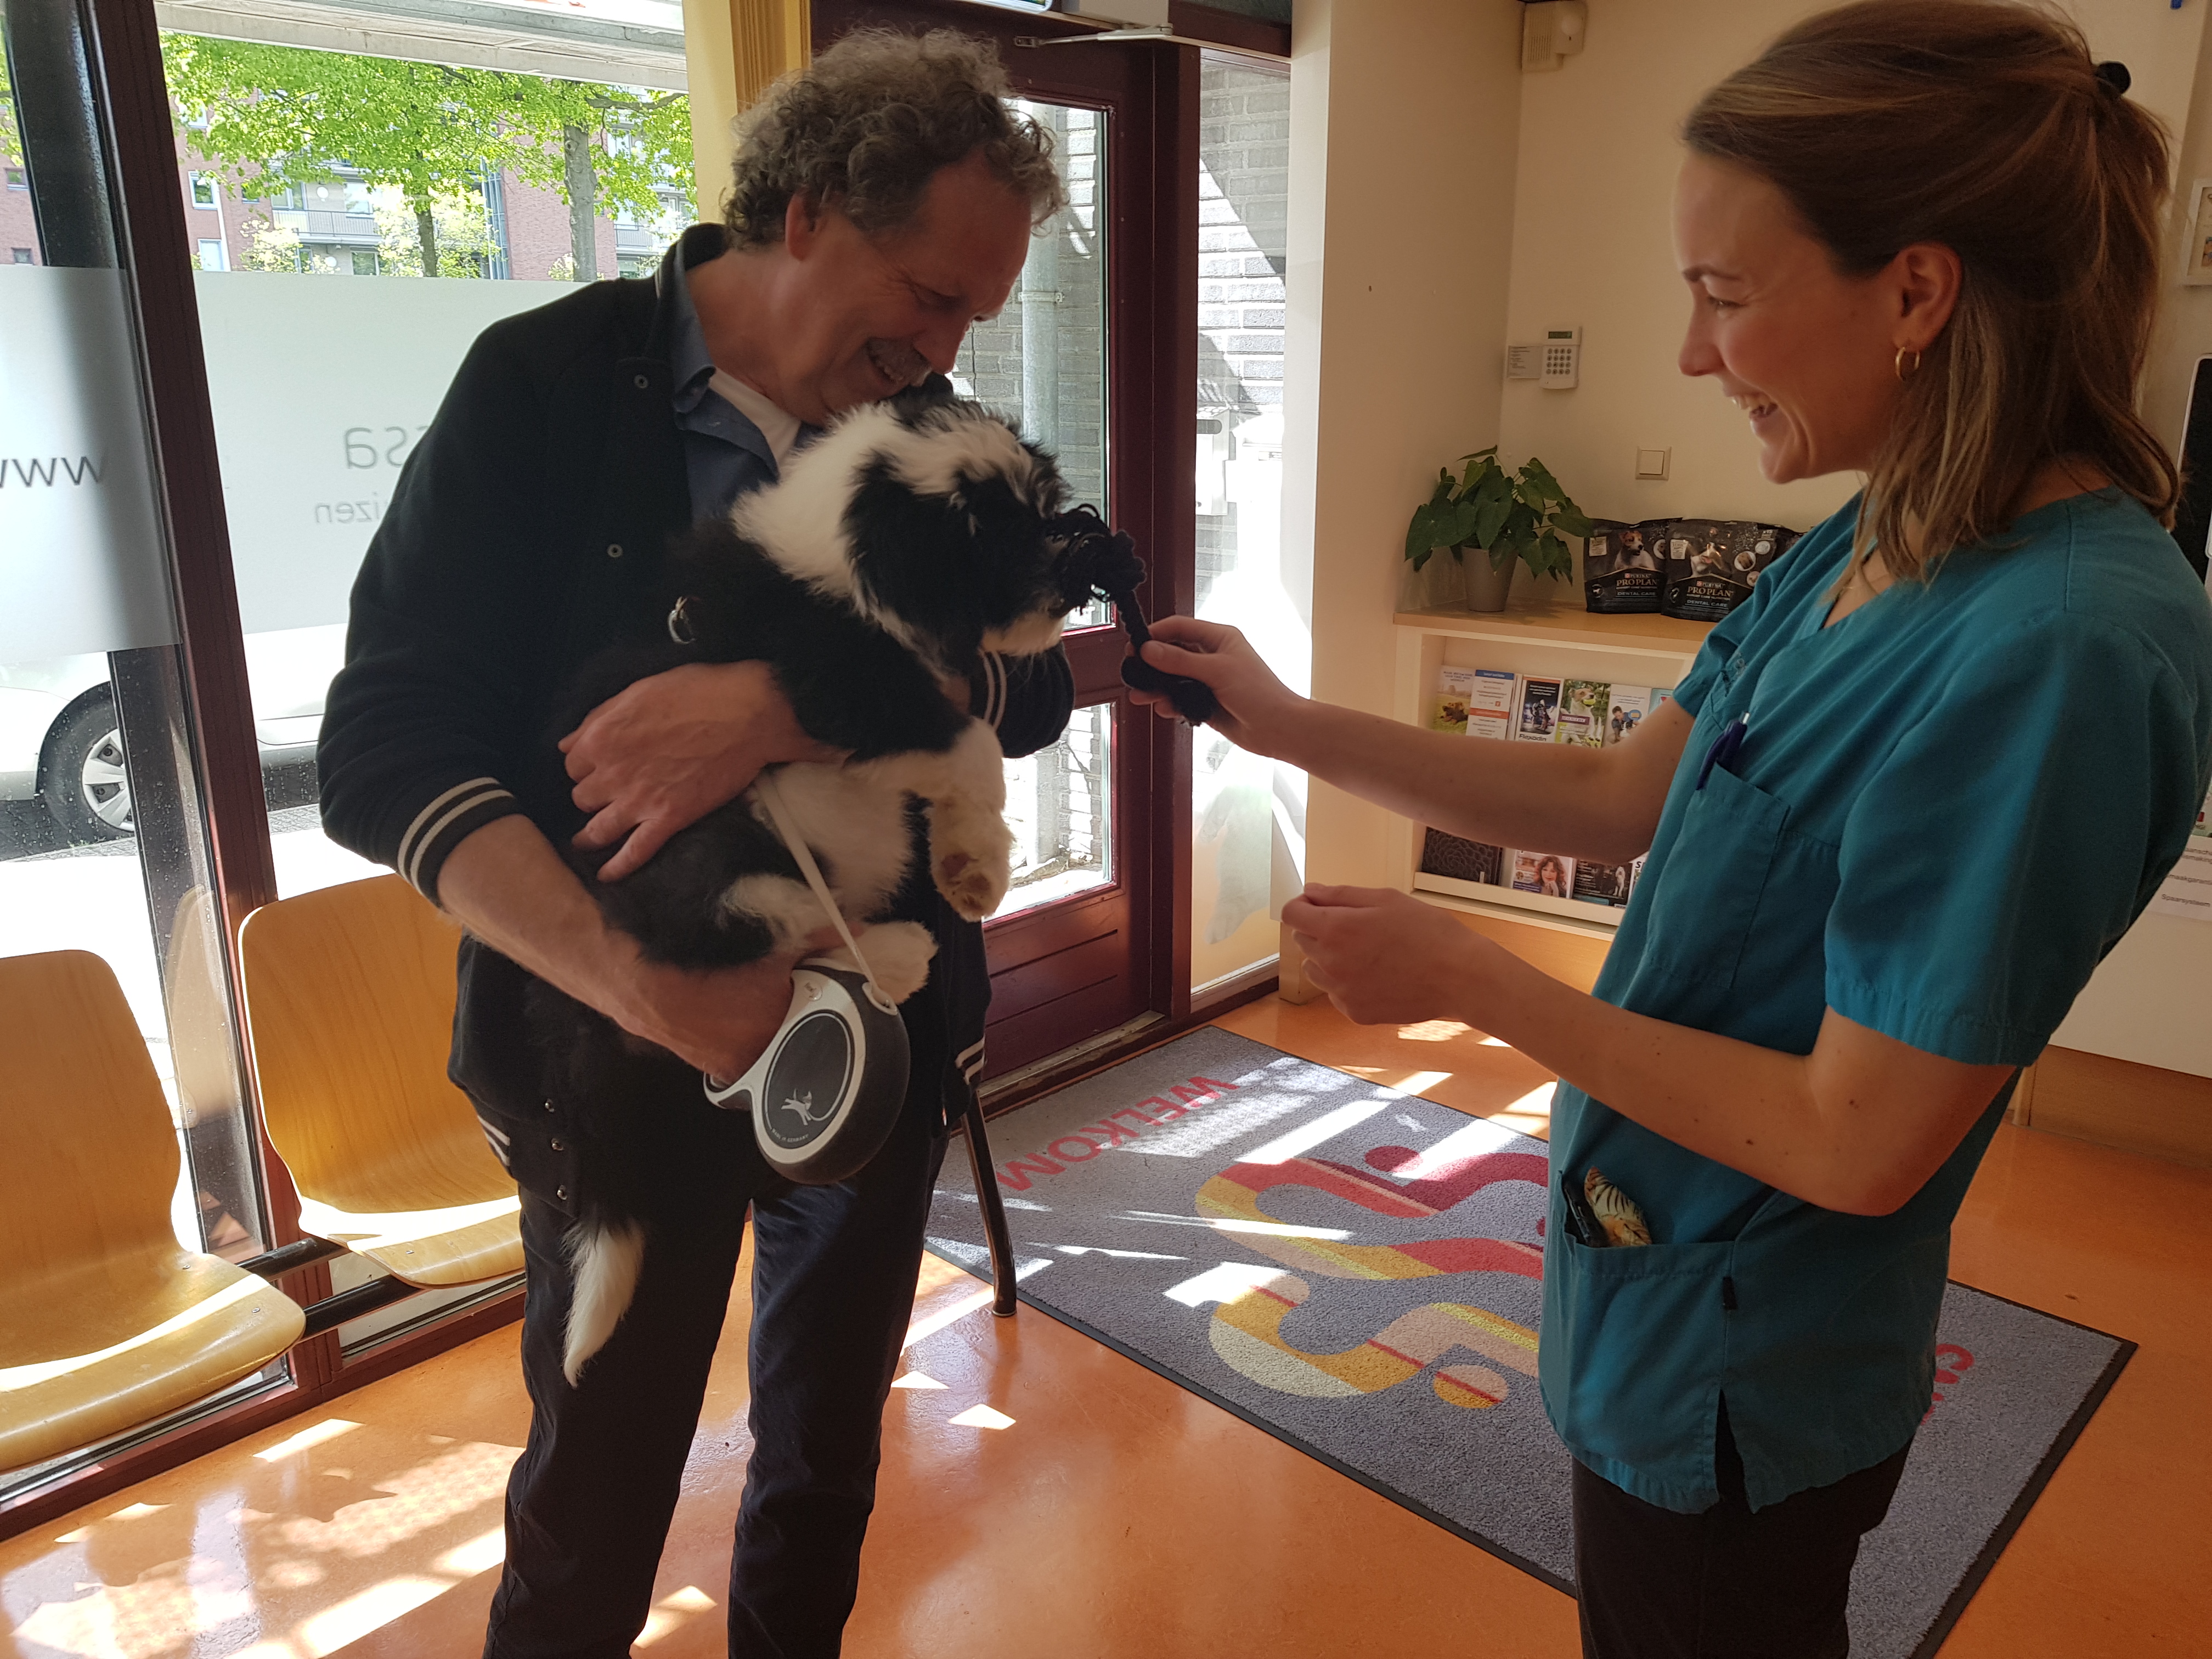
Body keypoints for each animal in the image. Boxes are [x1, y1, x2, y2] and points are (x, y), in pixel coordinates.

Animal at [529, 379, 1127, 1385]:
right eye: (984, 538)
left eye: (1037, 508)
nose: (1074, 578)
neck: (843, 568)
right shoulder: (843, 685)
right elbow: (970, 741)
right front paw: (980, 862)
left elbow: (962, 746)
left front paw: (969, 864)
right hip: (707, 850)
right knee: (776, 926)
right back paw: (894, 954)